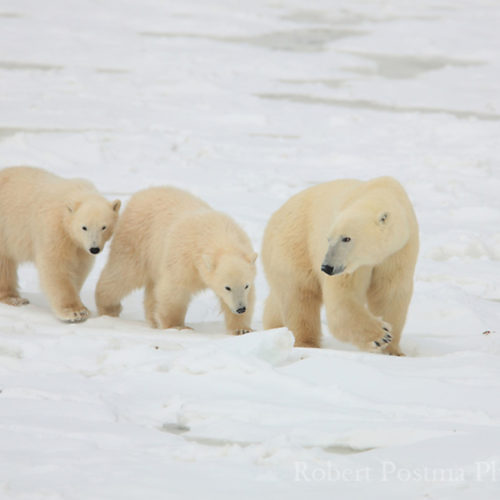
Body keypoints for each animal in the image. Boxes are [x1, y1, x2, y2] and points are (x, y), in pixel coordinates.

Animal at [0, 166, 120, 322]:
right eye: (84, 227)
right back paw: (14, 298)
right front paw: (75, 312)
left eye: (104, 227)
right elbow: (56, 265)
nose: (94, 249)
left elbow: (79, 267)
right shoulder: (55, 228)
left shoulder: (79, 245)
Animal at [262, 176, 418, 356]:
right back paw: (306, 343)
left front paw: (394, 351)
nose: (326, 267)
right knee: (299, 297)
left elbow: (390, 294)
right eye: (328, 238)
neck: (381, 191)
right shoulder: (351, 266)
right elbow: (343, 299)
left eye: (346, 238)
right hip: (294, 246)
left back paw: (274, 326)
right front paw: (382, 335)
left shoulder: (399, 252)